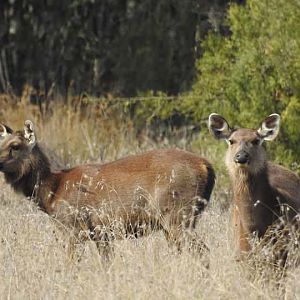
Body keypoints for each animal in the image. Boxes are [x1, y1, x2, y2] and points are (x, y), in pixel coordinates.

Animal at [0, 119, 216, 258]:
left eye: (15, 146)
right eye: (1, 142)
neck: (52, 192)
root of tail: (206, 166)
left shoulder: (73, 227)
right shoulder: (102, 234)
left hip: (177, 215)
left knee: (202, 252)